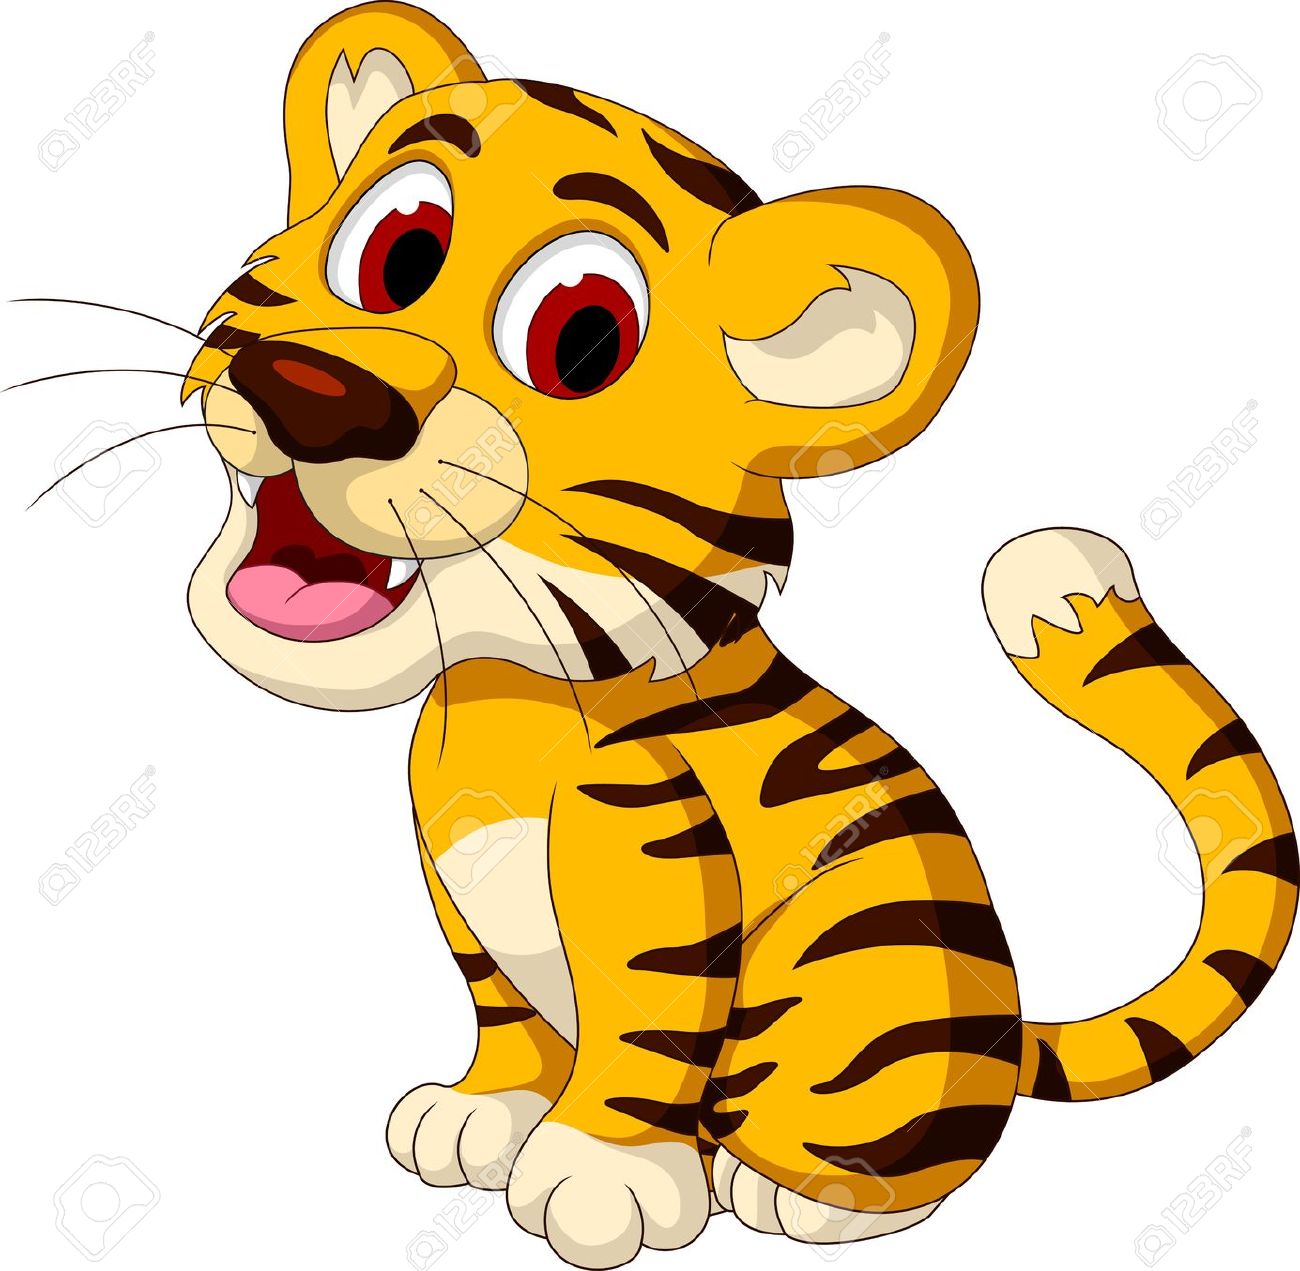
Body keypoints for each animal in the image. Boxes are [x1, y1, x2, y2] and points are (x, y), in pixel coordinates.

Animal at [52, 3, 1294, 1268]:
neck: (507, 701)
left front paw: (597, 1177)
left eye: (581, 337)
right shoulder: (460, 890)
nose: (319, 391)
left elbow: (638, 1038)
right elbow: (505, 1007)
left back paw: (803, 1193)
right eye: (396, 250)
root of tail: (1011, 1024)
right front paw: (482, 1113)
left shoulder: (651, 877)